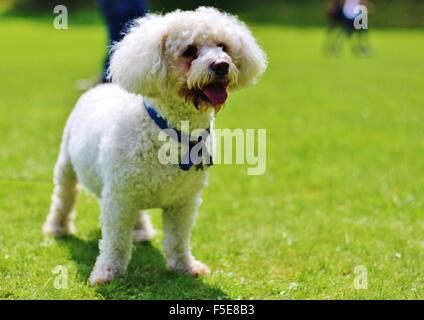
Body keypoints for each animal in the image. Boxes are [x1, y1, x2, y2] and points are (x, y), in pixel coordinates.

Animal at [42, 6, 264, 284]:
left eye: (224, 47)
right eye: (190, 51)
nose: (222, 65)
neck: (172, 133)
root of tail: (102, 87)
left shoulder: (183, 203)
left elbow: (178, 239)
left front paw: (184, 267)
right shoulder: (118, 199)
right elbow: (115, 242)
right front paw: (107, 273)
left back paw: (140, 230)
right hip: (68, 166)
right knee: (64, 197)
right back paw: (57, 228)